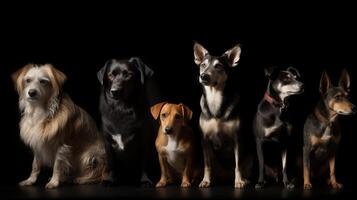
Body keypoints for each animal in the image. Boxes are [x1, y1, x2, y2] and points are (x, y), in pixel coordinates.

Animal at [96, 57, 154, 186]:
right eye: (111, 75)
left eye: (128, 75)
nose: (114, 91)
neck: (121, 108)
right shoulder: (108, 143)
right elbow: (112, 164)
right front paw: (111, 180)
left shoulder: (144, 141)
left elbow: (144, 163)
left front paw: (145, 180)